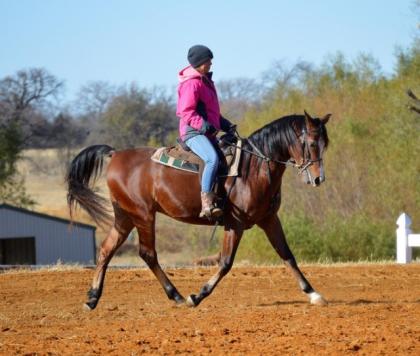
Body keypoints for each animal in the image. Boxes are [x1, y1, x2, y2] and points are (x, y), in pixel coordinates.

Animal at [65, 110, 330, 308]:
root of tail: (115, 153)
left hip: (124, 217)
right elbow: (225, 263)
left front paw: (314, 293)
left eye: (324, 144)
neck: (253, 168)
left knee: (106, 250)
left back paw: (93, 298)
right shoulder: (235, 224)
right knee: (147, 254)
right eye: (311, 143)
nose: (319, 179)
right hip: (143, 215)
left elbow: (287, 255)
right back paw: (177, 295)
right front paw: (198, 295)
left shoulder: (269, 219)